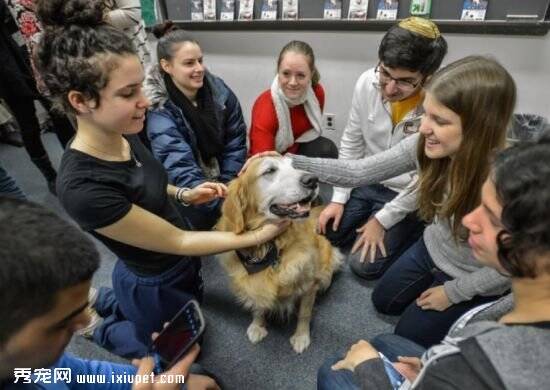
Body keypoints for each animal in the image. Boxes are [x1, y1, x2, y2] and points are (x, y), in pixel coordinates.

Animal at [217, 156, 342, 354]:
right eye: (269, 170)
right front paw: (258, 325)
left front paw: (301, 336)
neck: (271, 247)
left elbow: (304, 314)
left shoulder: (308, 285)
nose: (312, 179)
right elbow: (259, 304)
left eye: (293, 166)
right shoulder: (254, 282)